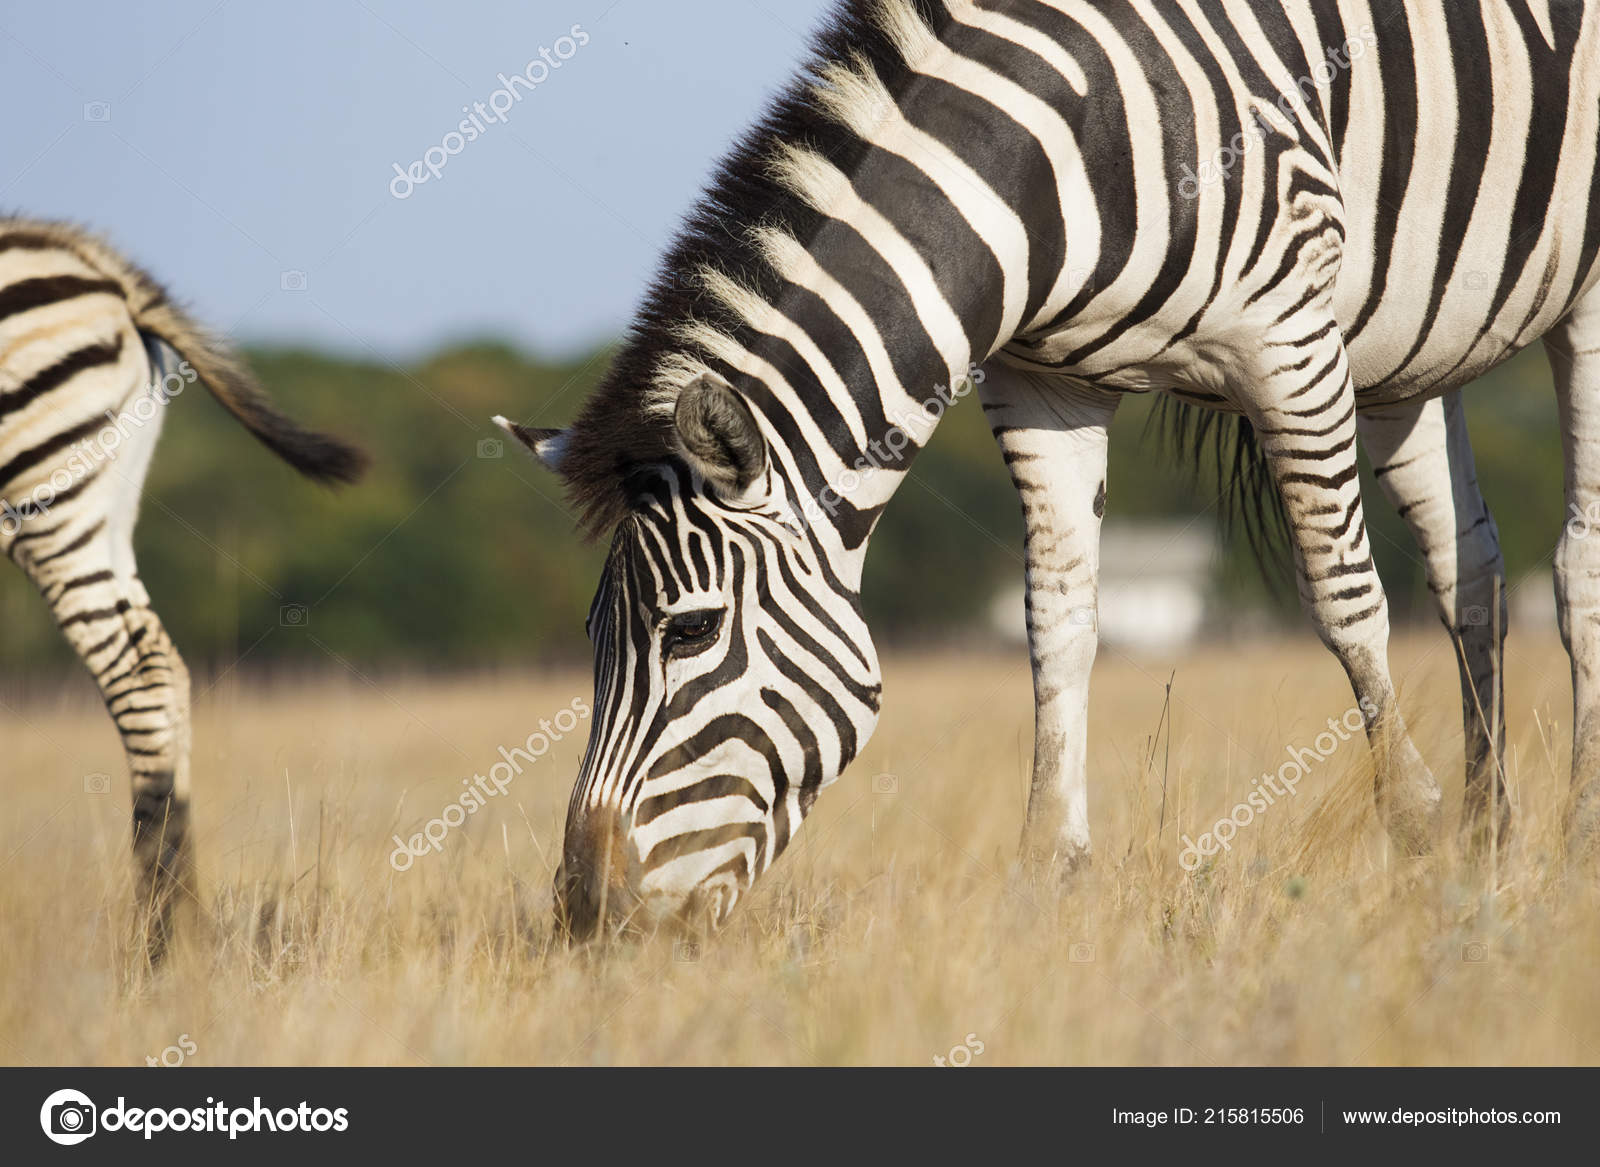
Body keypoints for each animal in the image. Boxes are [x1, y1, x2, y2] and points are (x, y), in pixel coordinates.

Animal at [1, 217, 365, 953]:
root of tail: (100, 267)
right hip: (104, 499)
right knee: (157, 666)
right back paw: (173, 931)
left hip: (48, 491)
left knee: (135, 676)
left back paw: (160, 943)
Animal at [495, 0, 1600, 940]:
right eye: (591, 638)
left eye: (690, 629)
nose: (584, 915)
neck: (1048, 163)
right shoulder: (1043, 388)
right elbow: (1054, 621)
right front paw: (1048, 872)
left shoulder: (1287, 342)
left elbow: (1341, 597)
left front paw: (1411, 827)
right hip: (1411, 348)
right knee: (1470, 571)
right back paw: (1490, 833)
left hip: (1573, 298)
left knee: (1573, 567)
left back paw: (1576, 827)